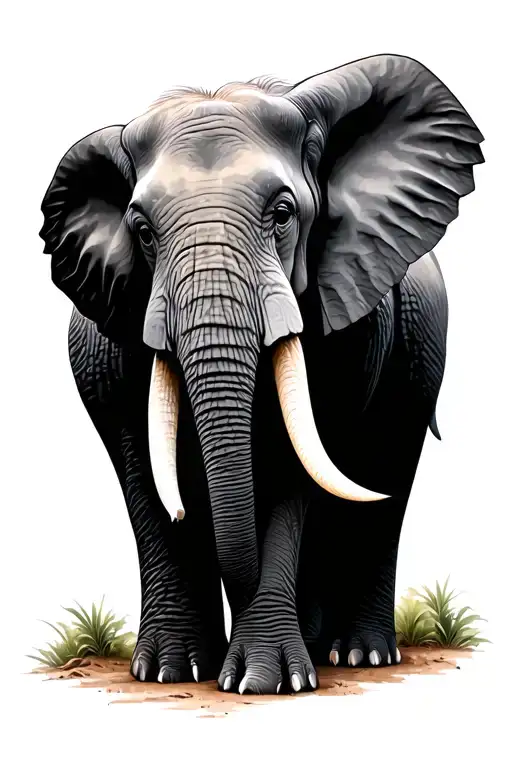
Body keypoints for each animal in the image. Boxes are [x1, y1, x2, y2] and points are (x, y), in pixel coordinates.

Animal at [39, 54, 484, 695]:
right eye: (142, 231)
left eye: (283, 214)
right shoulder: (108, 333)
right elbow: (142, 465)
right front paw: (170, 673)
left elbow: (295, 461)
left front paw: (262, 682)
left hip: (424, 350)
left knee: (384, 476)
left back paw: (357, 656)